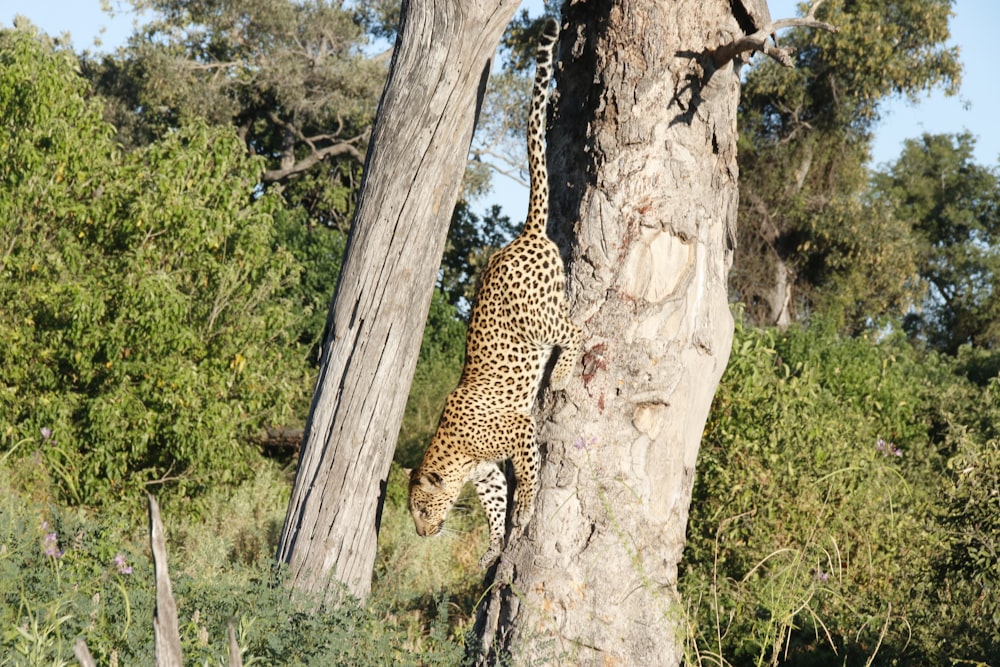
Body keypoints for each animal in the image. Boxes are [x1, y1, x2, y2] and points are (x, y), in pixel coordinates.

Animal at [404, 18, 580, 568]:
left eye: (422, 508)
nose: (422, 533)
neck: (456, 455)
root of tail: (521, 235)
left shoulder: (519, 433)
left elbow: (528, 476)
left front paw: (527, 512)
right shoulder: (485, 476)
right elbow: (495, 508)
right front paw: (492, 550)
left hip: (539, 317)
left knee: (576, 328)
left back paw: (562, 373)